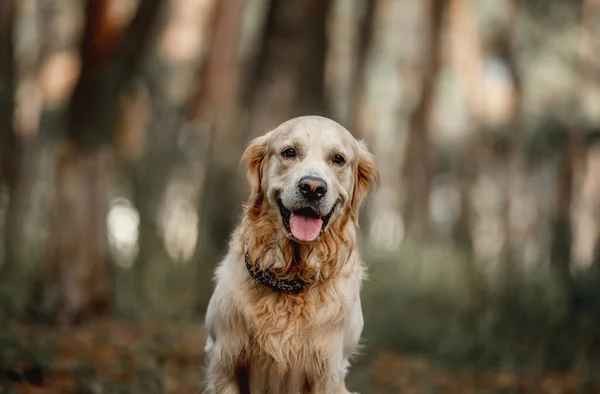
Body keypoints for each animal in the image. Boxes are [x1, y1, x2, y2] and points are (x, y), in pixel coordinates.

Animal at [204, 115, 378, 392]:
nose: (313, 187)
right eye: (289, 152)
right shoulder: (224, 362)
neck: (290, 276)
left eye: (338, 159)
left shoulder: (326, 374)